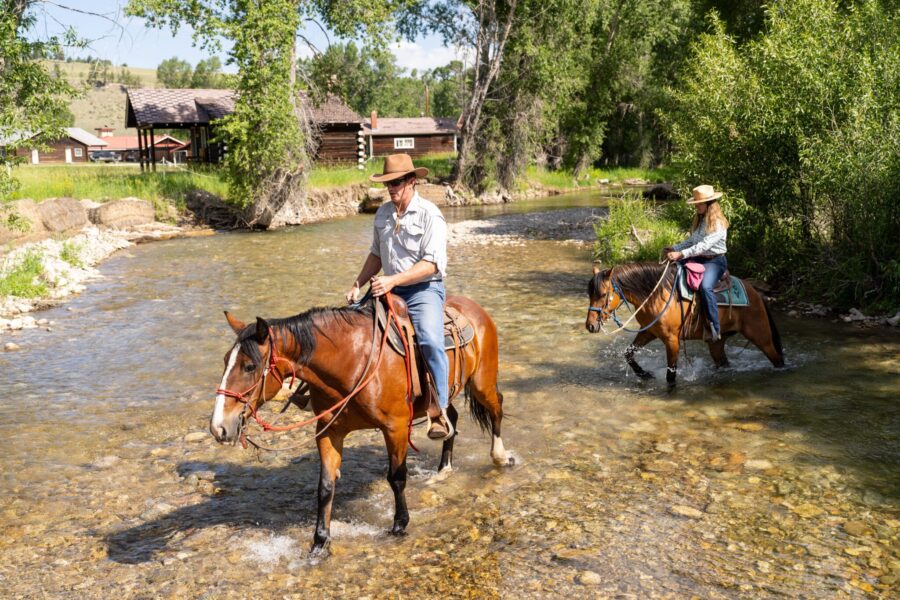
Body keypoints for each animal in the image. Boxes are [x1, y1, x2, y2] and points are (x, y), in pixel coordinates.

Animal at [210, 295, 512, 556]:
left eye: (250, 366)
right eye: (225, 361)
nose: (218, 428)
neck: (353, 362)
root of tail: (474, 308)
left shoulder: (396, 428)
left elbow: (396, 477)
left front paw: (399, 525)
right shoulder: (329, 431)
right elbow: (325, 486)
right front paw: (320, 543)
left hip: (482, 381)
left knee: (496, 407)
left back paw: (500, 456)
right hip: (443, 395)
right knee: (452, 419)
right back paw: (443, 469)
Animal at [585, 262, 784, 387]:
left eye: (603, 294)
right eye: (589, 293)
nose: (590, 326)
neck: (656, 295)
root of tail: (756, 294)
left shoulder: (672, 340)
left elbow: (671, 374)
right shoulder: (648, 332)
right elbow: (628, 353)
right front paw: (644, 374)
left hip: (761, 336)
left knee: (777, 359)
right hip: (717, 343)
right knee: (723, 362)